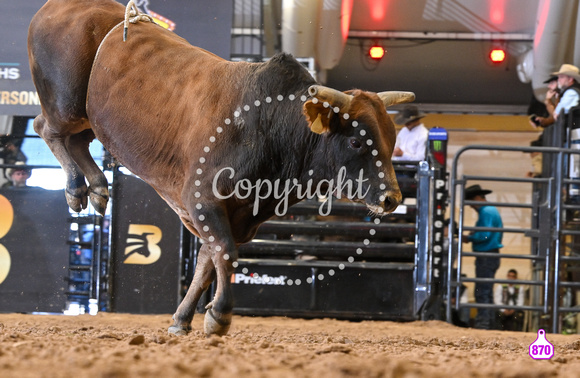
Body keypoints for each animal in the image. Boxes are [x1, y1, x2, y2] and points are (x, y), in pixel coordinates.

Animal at [29, 0, 414, 336]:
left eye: (392, 137)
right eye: (356, 141)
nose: (392, 199)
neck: (270, 122)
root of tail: (60, 6)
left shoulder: (238, 216)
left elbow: (206, 262)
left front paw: (183, 319)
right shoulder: (203, 199)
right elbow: (224, 254)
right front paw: (220, 315)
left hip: (89, 117)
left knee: (77, 141)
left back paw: (97, 187)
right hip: (65, 102)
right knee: (45, 128)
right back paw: (77, 188)